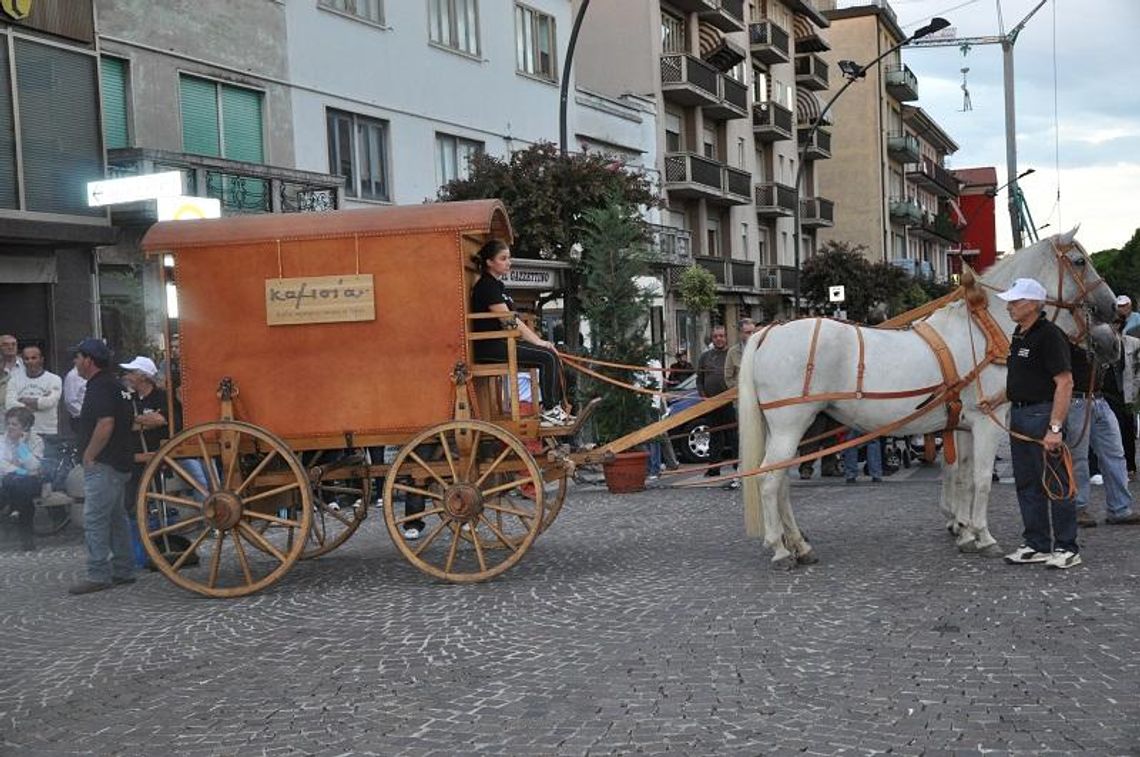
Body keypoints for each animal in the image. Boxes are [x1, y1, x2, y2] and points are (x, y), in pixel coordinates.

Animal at [734, 230, 1117, 567]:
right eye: (1080, 261)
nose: (1112, 307)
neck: (986, 331)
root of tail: (769, 331)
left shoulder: (963, 425)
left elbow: (962, 476)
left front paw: (965, 532)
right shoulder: (987, 420)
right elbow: (981, 478)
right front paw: (984, 536)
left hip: (786, 428)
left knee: (781, 484)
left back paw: (799, 545)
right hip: (790, 425)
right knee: (769, 483)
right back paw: (780, 550)